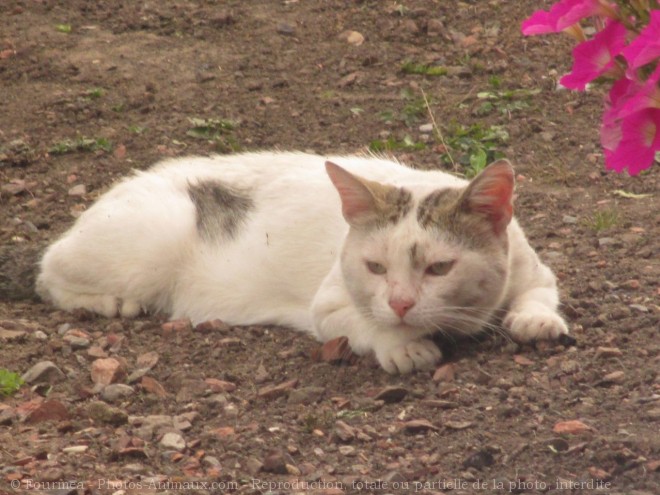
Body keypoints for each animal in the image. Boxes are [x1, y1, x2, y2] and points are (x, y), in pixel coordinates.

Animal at [37, 153, 572, 374]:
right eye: (376, 268)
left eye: (439, 268)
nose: (401, 304)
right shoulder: (329, 304)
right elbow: (364, 322)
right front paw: (402, 345)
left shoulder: (534, 266)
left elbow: (539, 292)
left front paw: (535, 320)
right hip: (149, 242)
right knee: (48, 271)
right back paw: (111, 302)